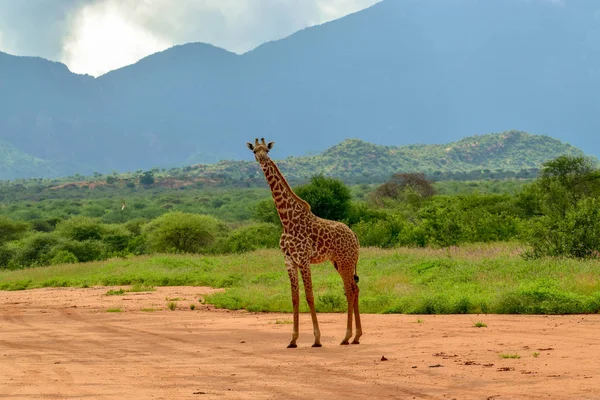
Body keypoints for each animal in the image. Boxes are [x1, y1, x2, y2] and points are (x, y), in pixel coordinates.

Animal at [244, 138, 360, 346]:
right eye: (254, 151)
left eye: (266, 150)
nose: (262, 158)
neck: (286, 220)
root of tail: (354, 235)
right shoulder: (289, 260)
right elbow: (294, 297)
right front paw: (293, 340)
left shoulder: (303, 259)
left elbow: (310, 295)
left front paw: (317, 339)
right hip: (339, 262)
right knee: (354, 289)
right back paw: (356, 336)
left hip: (345, 261)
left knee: (350, 290)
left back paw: (347, 336)